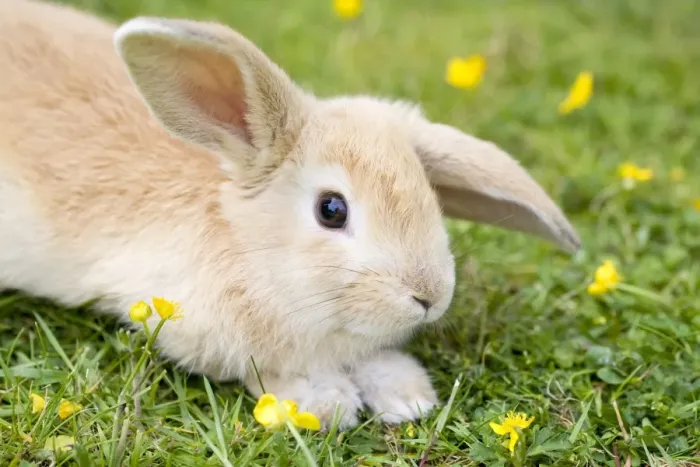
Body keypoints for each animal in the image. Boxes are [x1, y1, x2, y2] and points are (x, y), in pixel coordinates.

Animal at [0, 0, 580, 428]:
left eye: (429, 197)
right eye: (332, 210)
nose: (429, 297)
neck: (247, 244)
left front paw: (407, 397)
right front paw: (330, 405)